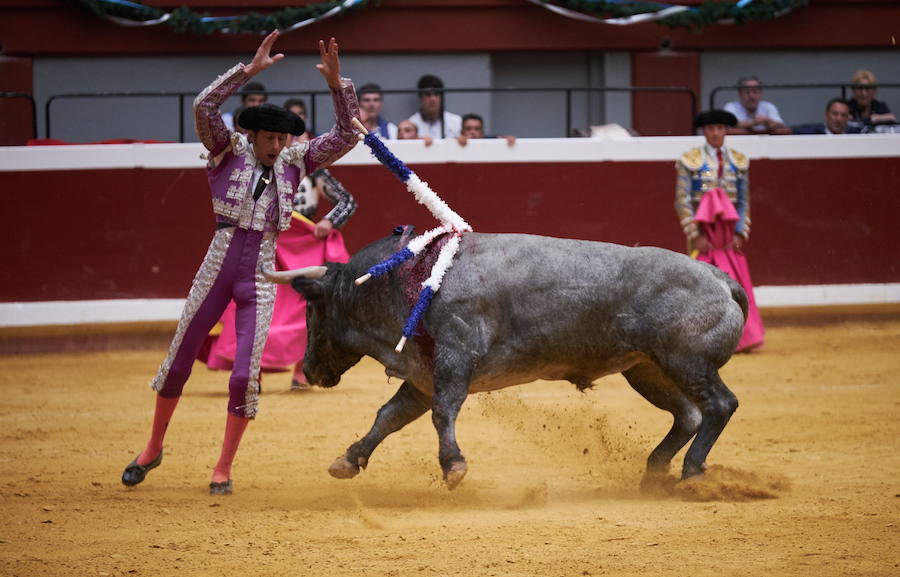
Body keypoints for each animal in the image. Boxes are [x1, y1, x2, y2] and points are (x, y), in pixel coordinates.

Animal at [270, 227, 748, 488]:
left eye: (312, 310)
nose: (309, 370)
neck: (411, 278)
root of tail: (718, 277)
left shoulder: (455, 360)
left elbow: (442, 413)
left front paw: (454, 466)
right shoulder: (423, 375)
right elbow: (389, 415)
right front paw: (348, 461)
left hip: (685, 361)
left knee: (720, 405)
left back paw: (692, 472)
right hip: (648, 370)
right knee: (688, 414)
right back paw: (654, 473)